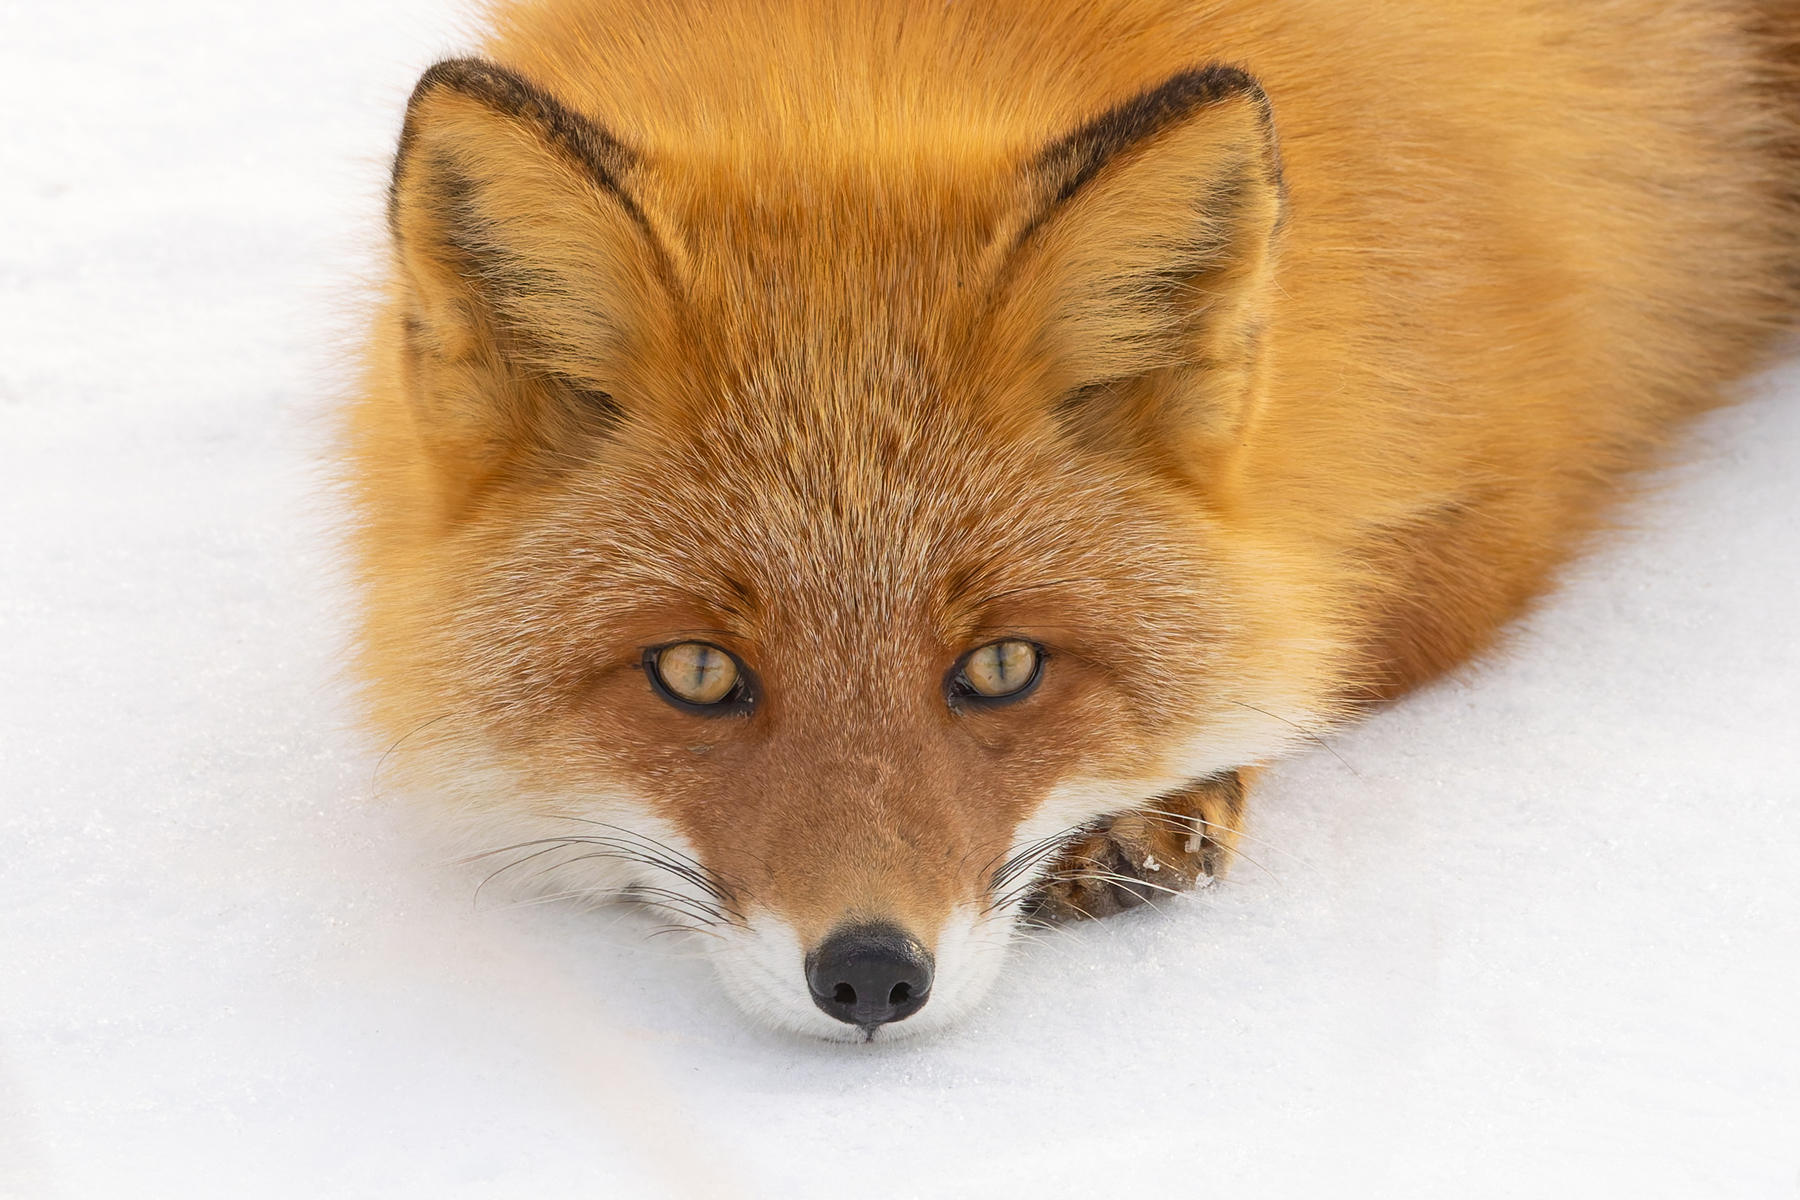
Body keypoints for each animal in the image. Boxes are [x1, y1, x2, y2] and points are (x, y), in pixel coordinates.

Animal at [341, 0, 1800, 1040]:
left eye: (1001, 667)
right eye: (696, 674)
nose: (871, 979)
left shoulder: (1500, 486)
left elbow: (1317, 647)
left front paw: (1169, 790)